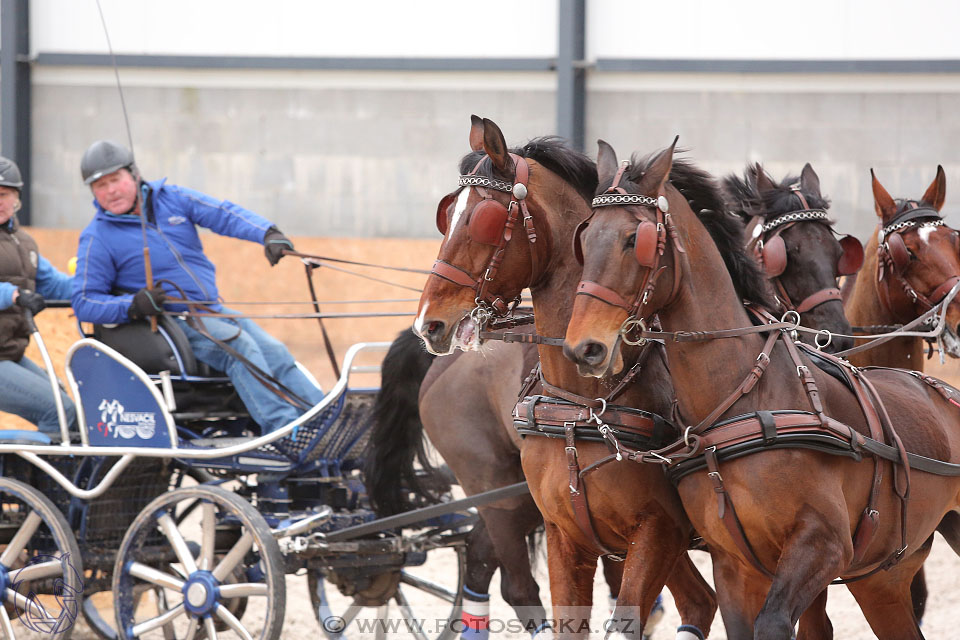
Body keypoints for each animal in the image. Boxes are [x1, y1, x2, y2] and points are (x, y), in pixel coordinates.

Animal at [416, 116, 716, 640]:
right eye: (447, 215)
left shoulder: (657, 529)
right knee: (512, 581)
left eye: (482, 220)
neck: (584, 404)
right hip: (495, 492)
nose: (429, 323)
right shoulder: (571, 530)